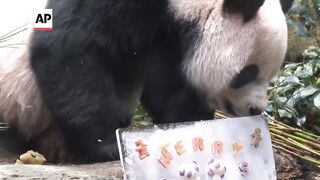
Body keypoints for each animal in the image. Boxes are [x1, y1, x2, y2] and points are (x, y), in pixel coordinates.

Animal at [0, 0, 290, 163]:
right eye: (248, 72)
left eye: (271, 73)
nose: (255, 109)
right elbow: (70, 51)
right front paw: (106, 146)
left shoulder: (165, 39)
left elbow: (166, 87)